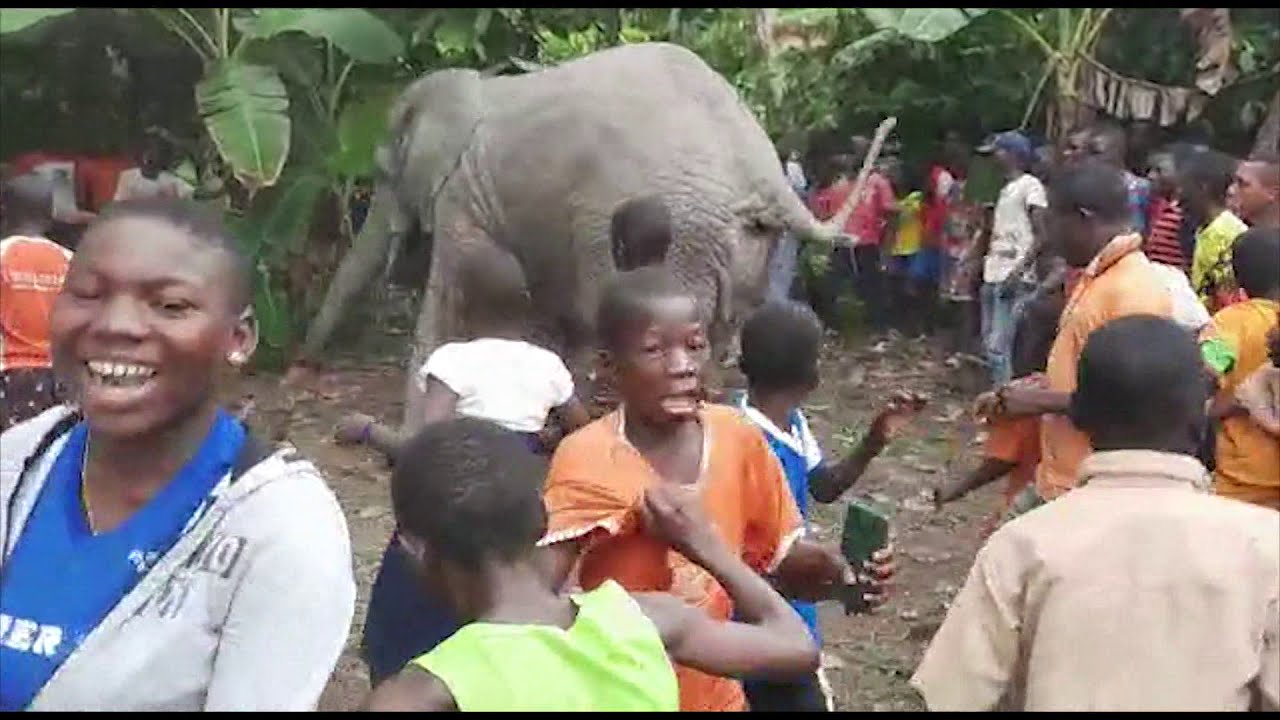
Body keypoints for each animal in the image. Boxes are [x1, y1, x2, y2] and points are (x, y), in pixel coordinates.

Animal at [298, 42, 829, 432]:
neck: (473, 85)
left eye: (383, 175)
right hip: (743, 248)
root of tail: (764, 172)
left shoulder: (460, 195)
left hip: (683, 234)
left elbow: (448, 300)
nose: (300, 367)